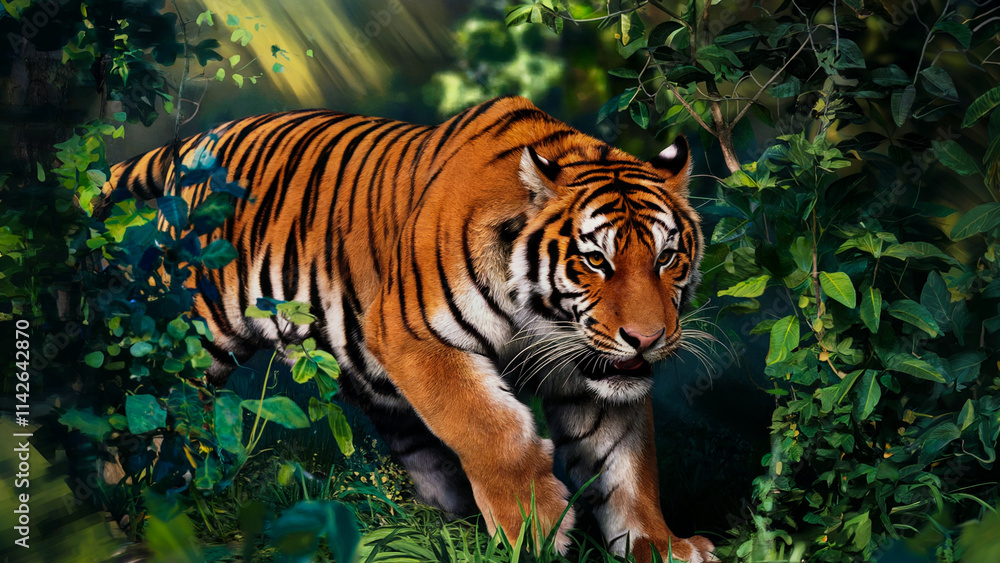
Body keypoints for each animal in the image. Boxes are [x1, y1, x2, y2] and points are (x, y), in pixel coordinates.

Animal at [102, 95, 716, 562]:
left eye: (665, 257)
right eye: (596, 261)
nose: (647, 338)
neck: (543, 317)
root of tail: (194, 143)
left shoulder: (595, 373)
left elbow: (624, 467)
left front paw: (663, 547)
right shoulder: (414, 336)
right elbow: (490, 430)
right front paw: (536, 527)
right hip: (184, 335)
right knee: (134, 407)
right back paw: (125, 512)